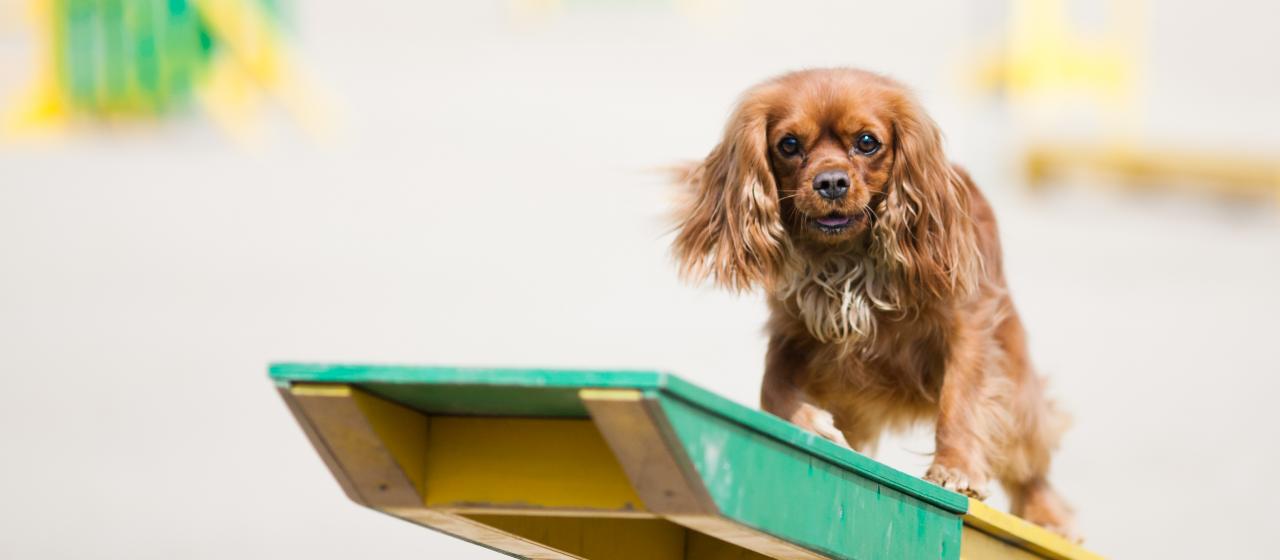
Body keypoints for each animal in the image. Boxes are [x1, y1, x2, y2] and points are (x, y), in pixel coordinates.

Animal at [675, 69, 1075, 536]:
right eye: (788, 145)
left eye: (867, 142)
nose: (831, 181)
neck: (848, 258)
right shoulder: (791, 330)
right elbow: (770, 387)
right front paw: (814, 426)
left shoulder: (969, 325)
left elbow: (960, 398)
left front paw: (954, 468)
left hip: (1016, 384)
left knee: (1030, 462)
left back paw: (1049, 517)